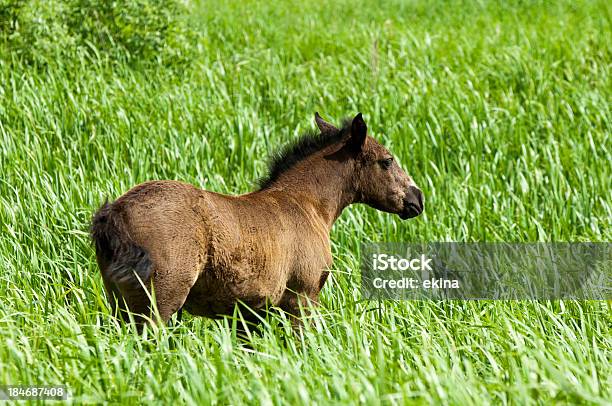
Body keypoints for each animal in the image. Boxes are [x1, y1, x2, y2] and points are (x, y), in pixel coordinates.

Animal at [91, 112, 424, 328]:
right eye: (387, 161)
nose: (417, 199)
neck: (308, 205)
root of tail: (114, 212)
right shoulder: (302, 299)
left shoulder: (249, 313)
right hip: (159, 303)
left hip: (118, 302)